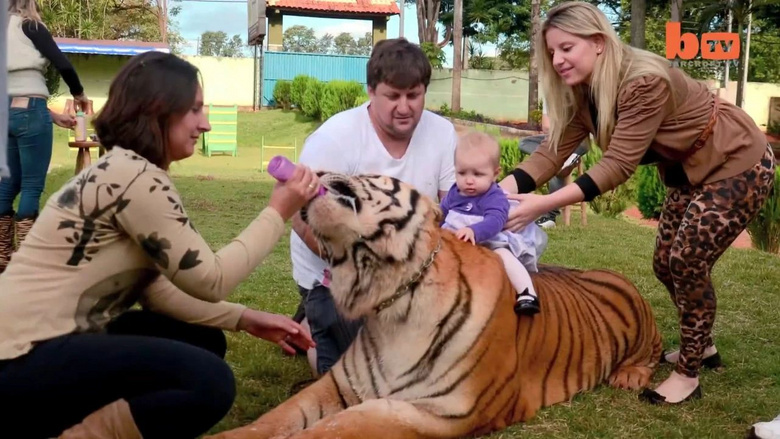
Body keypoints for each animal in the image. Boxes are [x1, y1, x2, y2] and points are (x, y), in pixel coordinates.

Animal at [209, 172, 664, 439]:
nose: (317, 171)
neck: (391, 296)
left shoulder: (444, 410)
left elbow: (340, 426)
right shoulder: (339, 383)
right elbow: (276, 417)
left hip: (643, 328)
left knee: (653, 354)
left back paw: (630, 377)